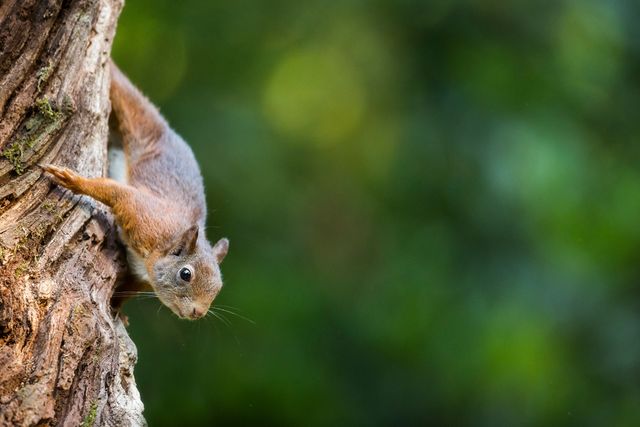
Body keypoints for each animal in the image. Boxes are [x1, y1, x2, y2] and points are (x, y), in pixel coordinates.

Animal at [42, 61, 229, 320]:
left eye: (219, 286)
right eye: (185, 274)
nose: (197, 313)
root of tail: (165, 129)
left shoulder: (141, 276)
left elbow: (126, 290)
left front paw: (117, 308)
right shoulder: (144, 216)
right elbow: (115, 192)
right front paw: (74, 181)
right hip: (135, 118)